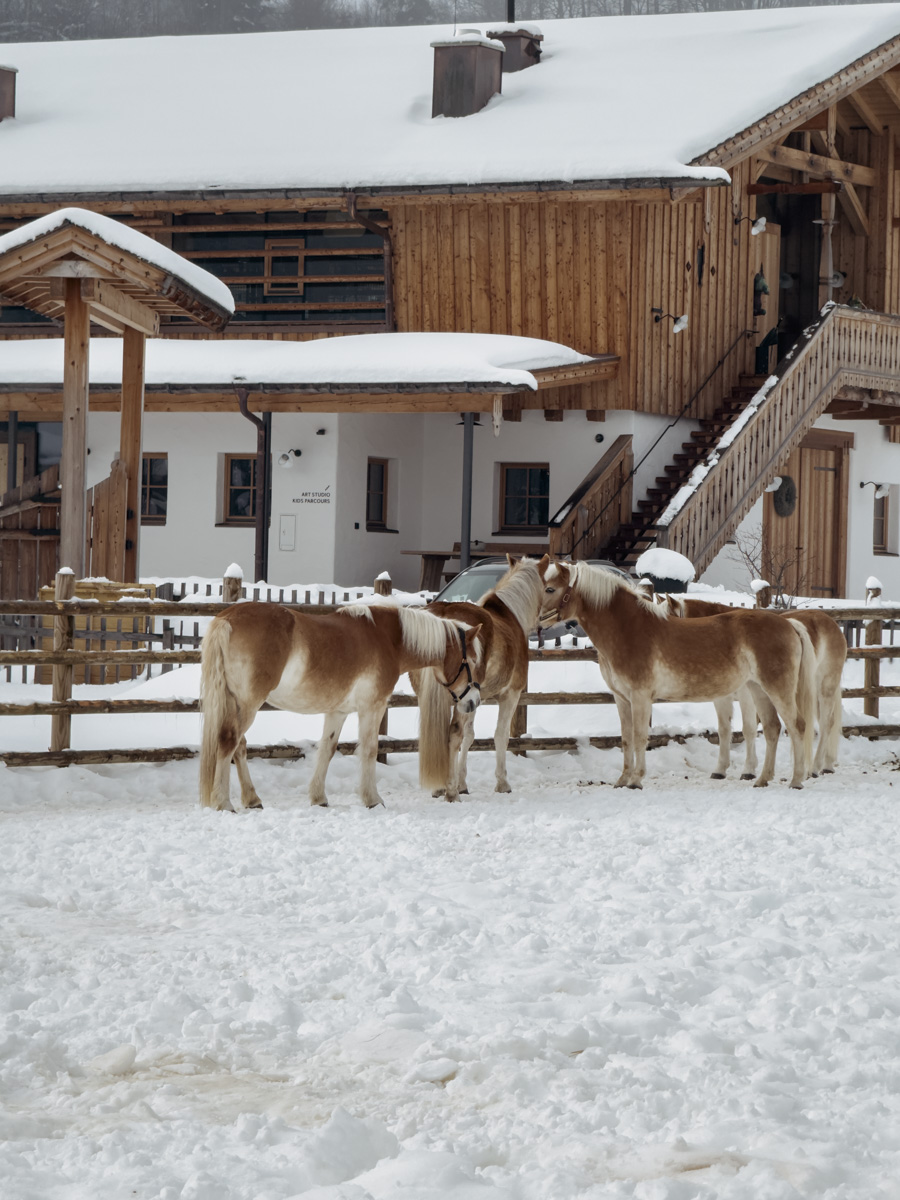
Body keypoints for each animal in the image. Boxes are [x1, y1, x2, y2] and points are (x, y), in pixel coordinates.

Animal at [199, 601, 483, 812]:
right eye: (471, 660)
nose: (475, 701)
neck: (388, 639)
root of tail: (226, 618)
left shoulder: (338, 711)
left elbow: (327, 749)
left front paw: (318, 798)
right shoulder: (372, 708)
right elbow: (369, 750)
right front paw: (372, 799)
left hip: (235, 703)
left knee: (239, 747)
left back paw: (252, 799)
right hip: (247, 704)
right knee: (228, 741)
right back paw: (224, 802)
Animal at [412, 555, 544, 801]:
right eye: (547, 587)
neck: (509, 614)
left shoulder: (473, 698)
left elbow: (469, 736)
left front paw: (463, 782)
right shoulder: (510, 695)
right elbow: (500, 735)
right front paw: (502, 783)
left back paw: (441, 787)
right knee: (453, 734)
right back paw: (450, 791)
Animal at [537, 555, 817, 789]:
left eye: (550, 589)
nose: (538, 621)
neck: (628, 629)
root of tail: (789, 624)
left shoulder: (640, 697)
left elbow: (639, 736)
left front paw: (636, 780)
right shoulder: (621, 698)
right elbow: (625, 738)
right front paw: (623, 779)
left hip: (777, 689)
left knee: (798, 725)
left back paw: (796, 780)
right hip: (758, 689)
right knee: (771, 728)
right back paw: (762, 779)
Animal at [663, 594, 847, 776]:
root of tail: (830, 622)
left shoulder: (747, 695)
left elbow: (749, 729)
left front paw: (749, 770)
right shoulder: (722, 698)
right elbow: (724, 729)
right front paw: (720, 769)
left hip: (825, 687)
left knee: (826, 723)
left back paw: (815, 767)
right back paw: (827, 765)